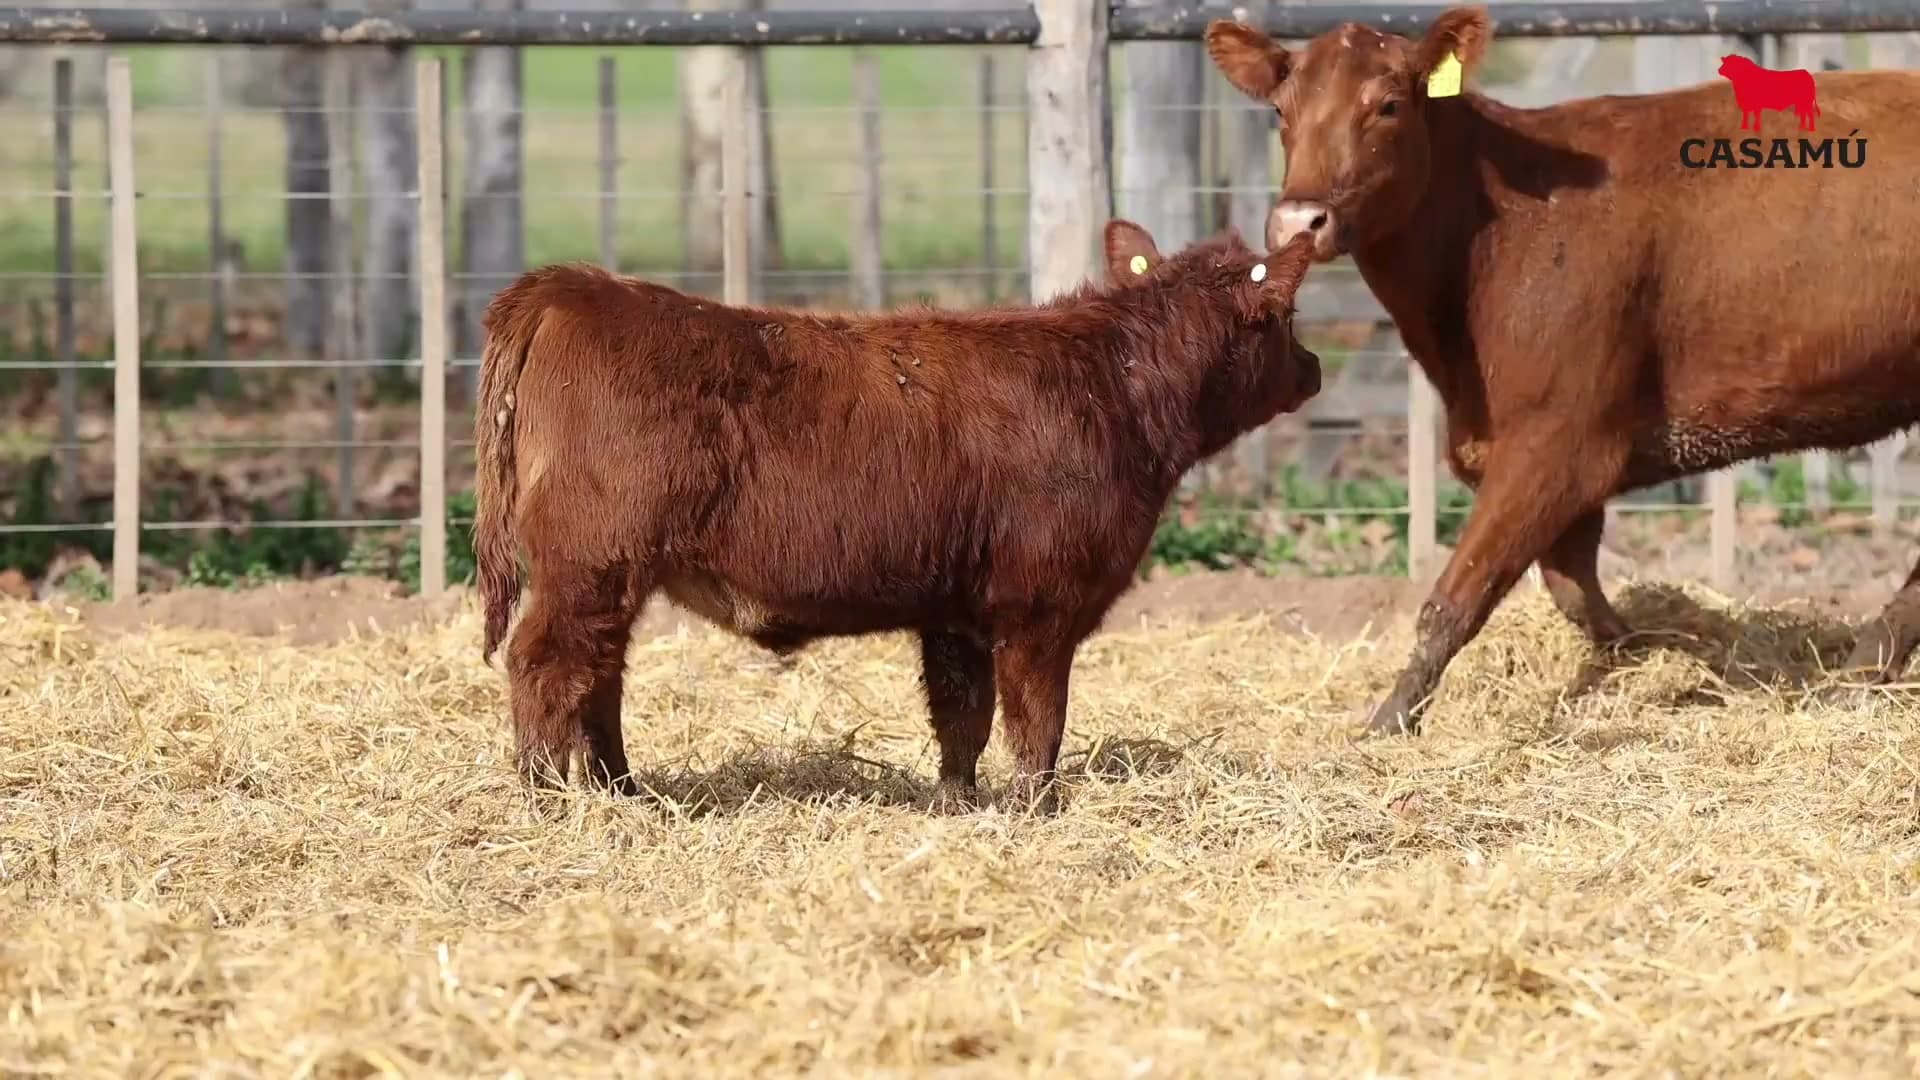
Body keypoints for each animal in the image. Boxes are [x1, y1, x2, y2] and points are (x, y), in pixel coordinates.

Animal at [470, 222, 1320, 812]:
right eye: (1285, 317)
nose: (1313, 369)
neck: (1114, 384)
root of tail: (574, 287)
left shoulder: (958, 612)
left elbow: (964, 716)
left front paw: (957, 803)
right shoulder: (1042, 608)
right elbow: (1037, 722)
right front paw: (1038, 808)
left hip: (610, 576)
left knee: (600, 675)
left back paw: (624, 792)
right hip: (590, 565)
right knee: (547, 664)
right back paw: (547, 796)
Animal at [1203, 6, 1920, 738]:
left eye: (1389, 105)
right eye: (1282, 110)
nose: (1300, 221)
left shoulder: (1557, 443)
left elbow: (1455, 599)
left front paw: (1387, 722)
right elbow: (1575, 590)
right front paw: (1649, 655)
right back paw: (1863, 671)